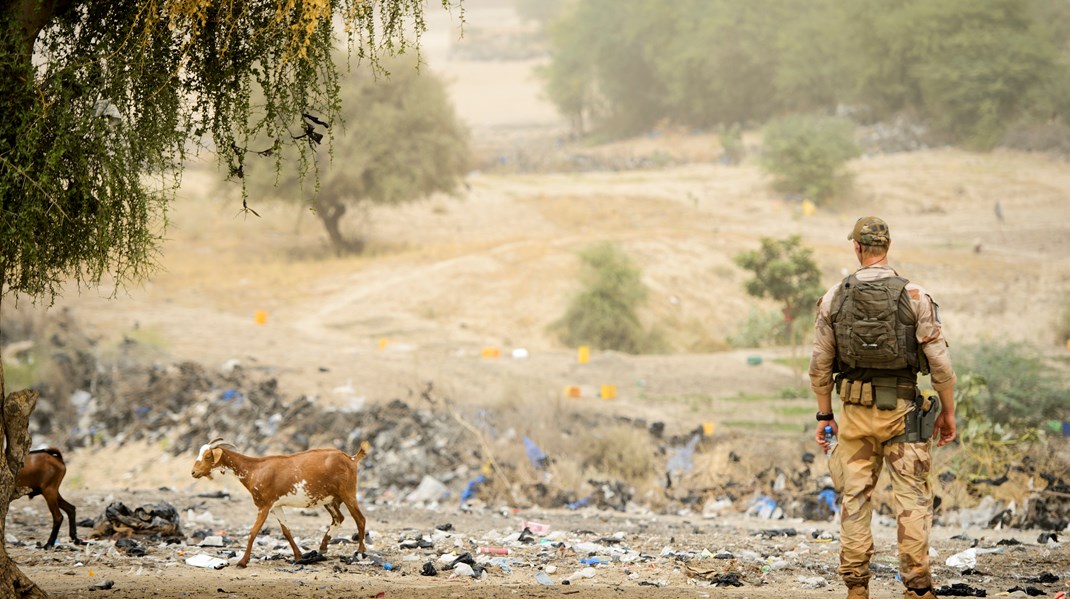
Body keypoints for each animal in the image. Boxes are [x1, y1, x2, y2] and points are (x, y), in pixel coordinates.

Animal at [192, 438, 372, 569]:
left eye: (207, 456)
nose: (193, 472)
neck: (253, 470)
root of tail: (351, 458)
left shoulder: (264, 505)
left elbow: (253, 532)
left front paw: (243, 562)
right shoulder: (276, 506)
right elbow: (286, 531)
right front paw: (299, 557)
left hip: (348, 493)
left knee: (360, 519)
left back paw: (360, 551)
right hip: (330, 499)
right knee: (338, 518)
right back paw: (322, 547)